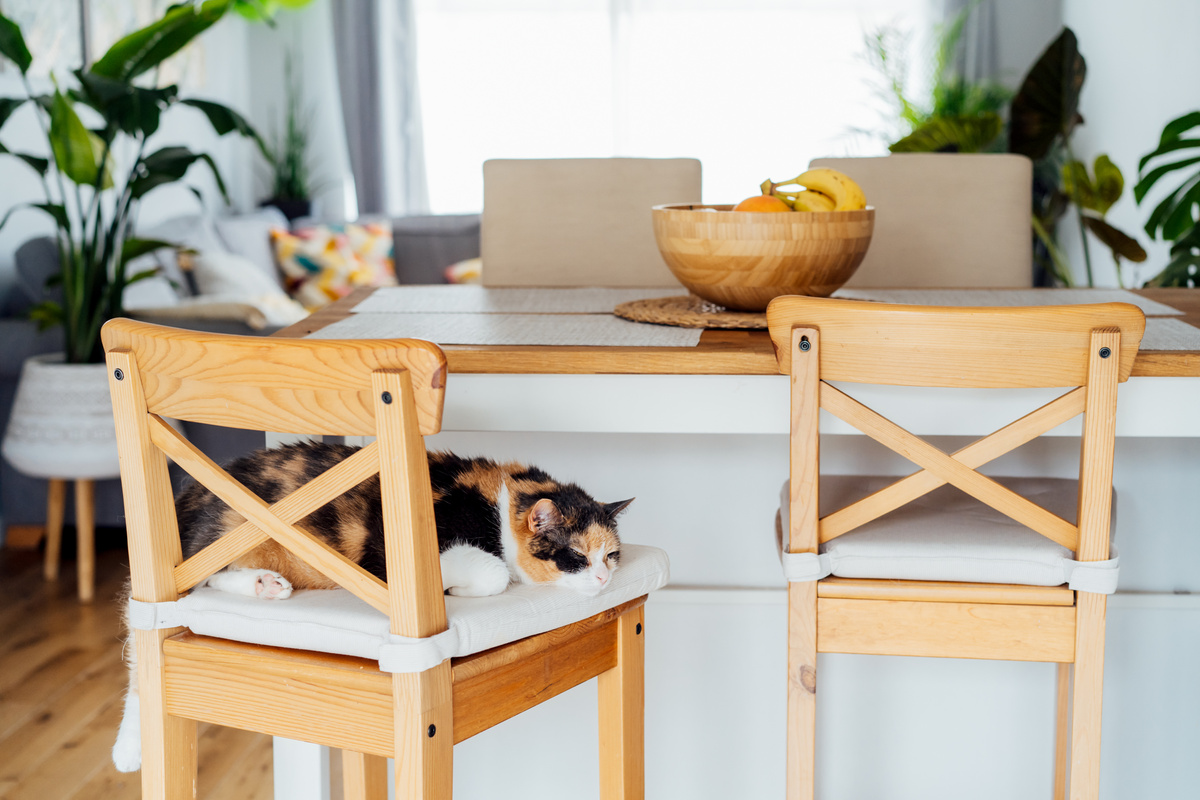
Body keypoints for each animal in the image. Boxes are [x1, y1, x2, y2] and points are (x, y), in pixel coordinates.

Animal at [112, 441, 633, 772]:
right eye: (576, 555)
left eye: (611, 554)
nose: (604, 578)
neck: (499, 505)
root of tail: (185, 497)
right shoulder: (390, 560)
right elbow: (493, 571)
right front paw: (462, 587)